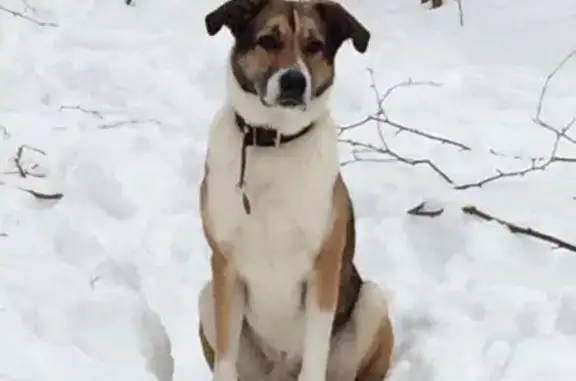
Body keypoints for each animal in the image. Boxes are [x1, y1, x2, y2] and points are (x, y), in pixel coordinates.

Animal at [196, 0, 394, 380]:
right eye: (268, 40)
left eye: (314, 45)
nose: (294, 81)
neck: (274, 141)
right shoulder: (225, 265)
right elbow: (225, 358)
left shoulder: (323, 266)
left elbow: (315, 354)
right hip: (206, 298)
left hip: (372, 303)